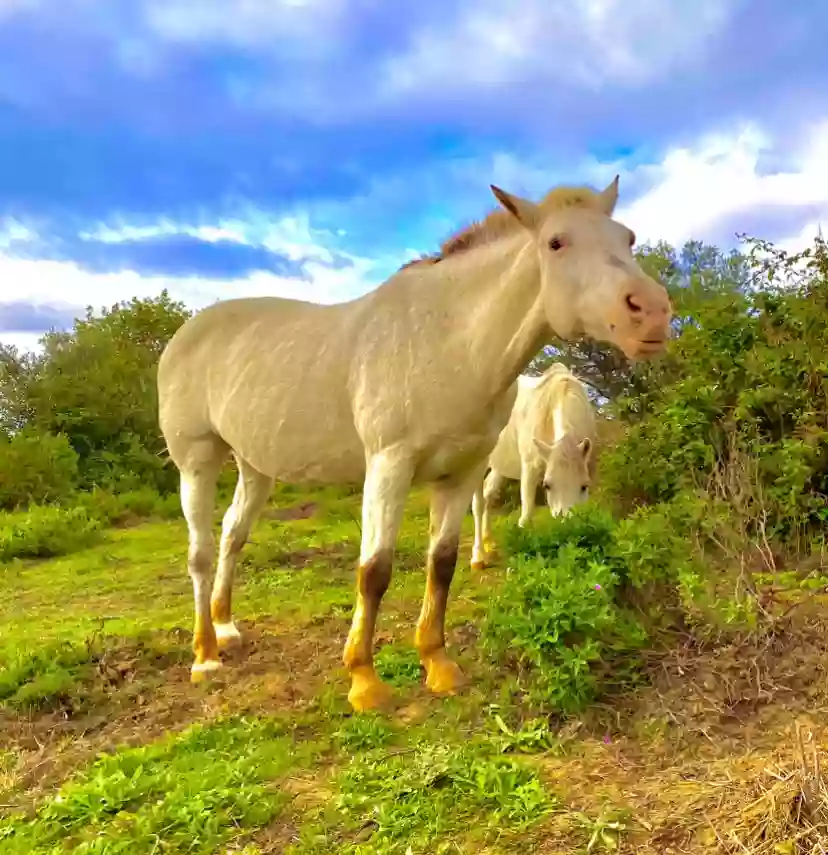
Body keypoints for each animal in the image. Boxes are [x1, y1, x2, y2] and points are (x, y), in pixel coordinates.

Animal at [468, 362, 600, 568]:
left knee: (489, 494)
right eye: (547, 485)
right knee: (478, 504)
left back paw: (489, 543)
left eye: (584, 486)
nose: (567, 527)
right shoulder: (530, 470)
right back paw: (478, 557)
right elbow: (527, 514)